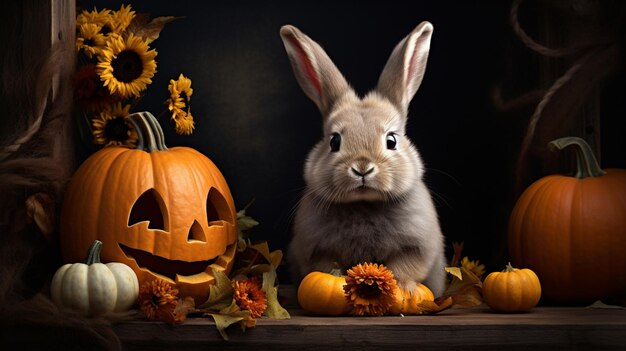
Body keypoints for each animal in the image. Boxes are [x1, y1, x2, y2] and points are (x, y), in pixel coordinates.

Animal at [280, 21, 446, 296]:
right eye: (334, 141)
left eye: (392, 140)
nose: (362, 168)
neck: (364, 203)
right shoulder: (316, 250)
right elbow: (326, 268)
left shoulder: (418, 246)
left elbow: (405, 268)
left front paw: (403, 290)